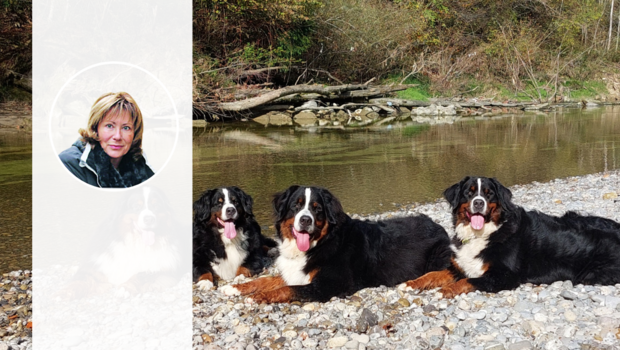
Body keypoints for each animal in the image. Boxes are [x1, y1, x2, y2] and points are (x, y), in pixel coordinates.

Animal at [220, 185, 452, 302]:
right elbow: (267, 280)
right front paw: (236, 288)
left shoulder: (327, 285)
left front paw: (260, 296)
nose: (305, 220)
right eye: (296, 206)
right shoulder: (296, 272)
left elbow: (288, 289)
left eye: (317, 209)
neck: (320, 243)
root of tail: (436, 224)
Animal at [402, 176, 620, 296]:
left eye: (489, 193)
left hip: (591, 273)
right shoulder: (461, 266)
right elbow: (433, 273)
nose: (479, 203)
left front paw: (446, 290)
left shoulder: (504, 276)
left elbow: (468, 281)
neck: (484, 233)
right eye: (469, 193)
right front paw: (411, 283)